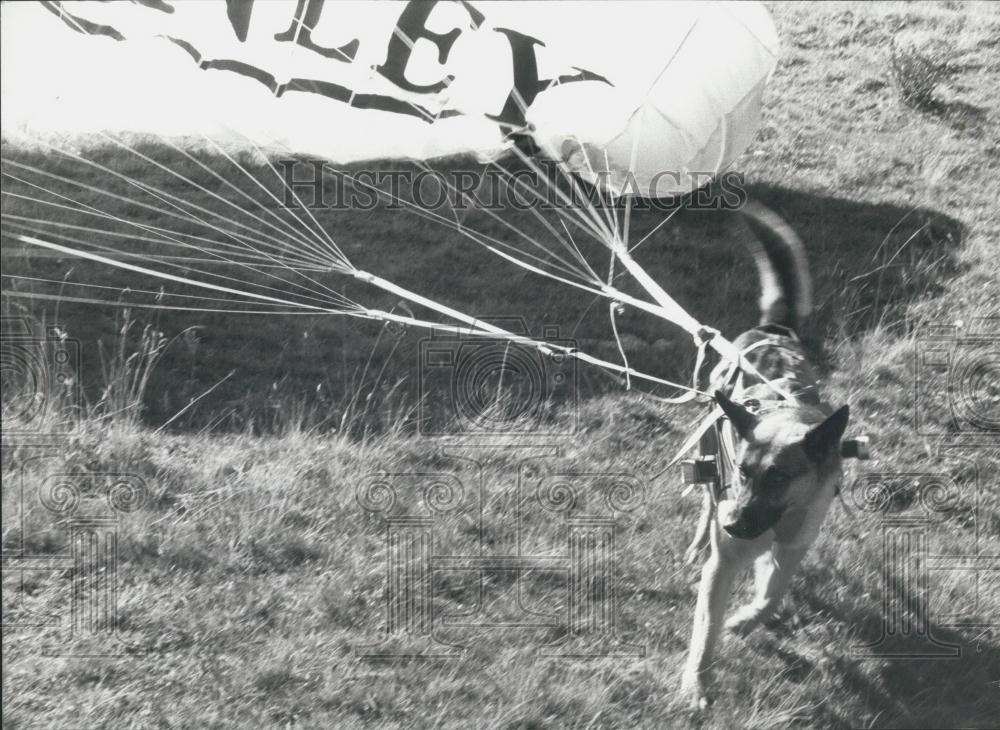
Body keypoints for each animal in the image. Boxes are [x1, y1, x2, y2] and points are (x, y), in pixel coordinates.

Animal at [680, 202, 852, 708]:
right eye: (743, 472)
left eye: (778, 478)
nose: (734, 525)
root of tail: (774, 329)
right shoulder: (723, 564)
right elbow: (706, 630)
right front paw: (697, 683)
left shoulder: (793, 547)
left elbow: (771, 596)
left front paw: (747, 619)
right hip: (705, 452)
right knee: (703, 501)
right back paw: (700, 538)